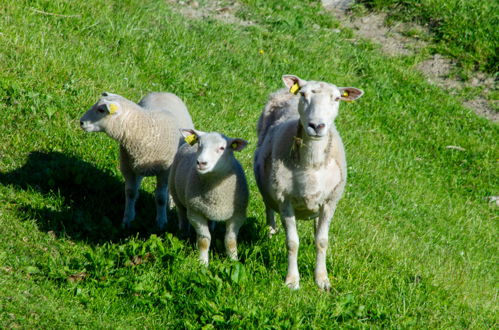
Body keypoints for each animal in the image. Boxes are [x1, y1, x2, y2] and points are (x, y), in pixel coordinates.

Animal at [79, 90, 193, 229]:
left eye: (101, 110)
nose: (81, 122)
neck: (147, 129)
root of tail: (163, 92)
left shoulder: (164, 171)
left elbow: (160, 198)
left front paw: (161, 222)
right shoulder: (128, 168)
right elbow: (130, 192)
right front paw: (127, 219)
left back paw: (170, 205)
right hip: (137, 166)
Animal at [170, 129, 250, 266]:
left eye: (222, 148)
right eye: (199, 144)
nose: (201, 163)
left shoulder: (238, 214)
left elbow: (230, 240)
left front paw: (234, 261)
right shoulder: (196, 213)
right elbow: (204, 240)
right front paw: (203, 263)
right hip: (176, 194)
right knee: (182, 214)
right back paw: (184, 232)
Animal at [254, 74, 364, 288]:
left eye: (337, 98)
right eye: (303, 94)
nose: (317, 126)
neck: (311, 165)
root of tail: (283, 91)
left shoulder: (330, 203)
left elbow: (322, 241)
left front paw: (322, 280)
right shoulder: (285, 201)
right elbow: (292, 243)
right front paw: (292, 280)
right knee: (268, 206)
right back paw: (270, 232)